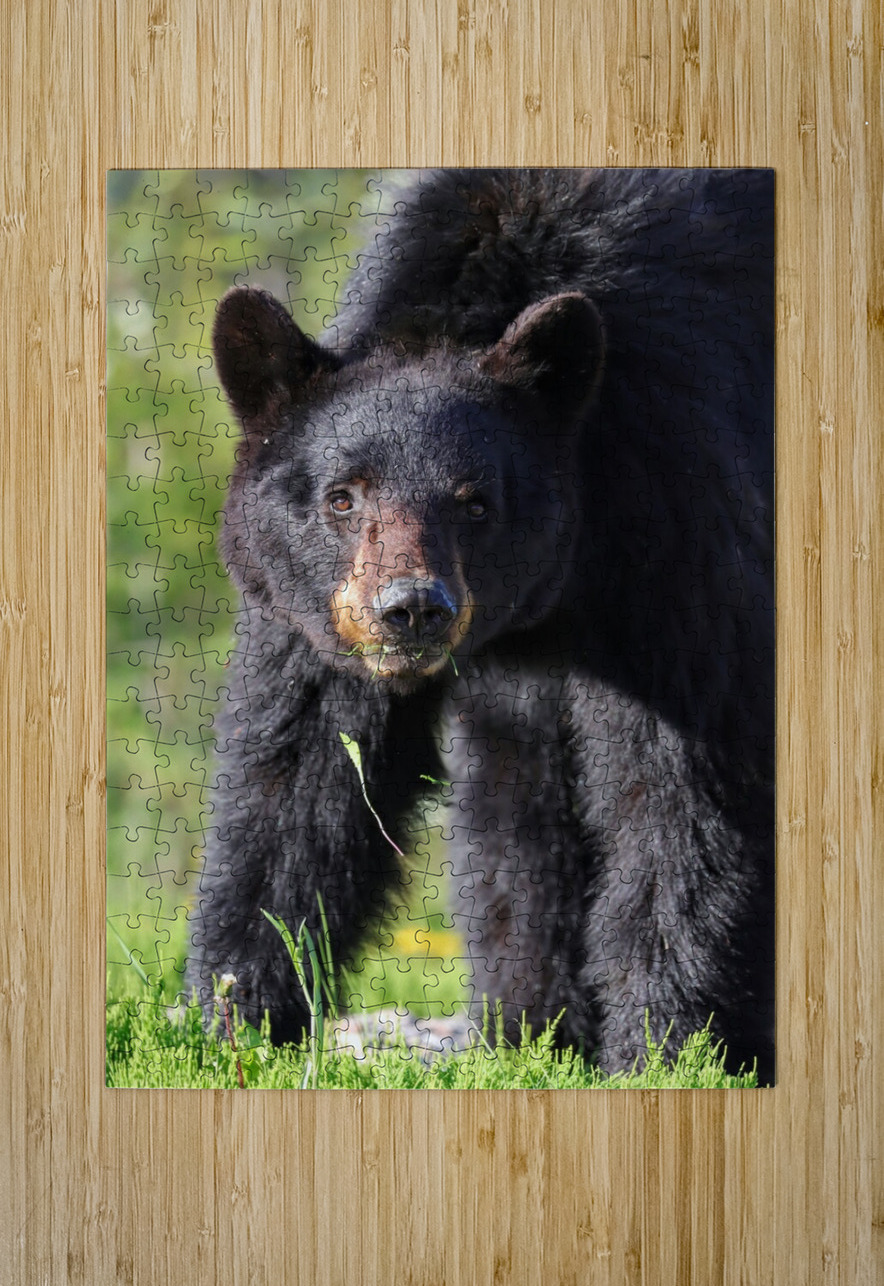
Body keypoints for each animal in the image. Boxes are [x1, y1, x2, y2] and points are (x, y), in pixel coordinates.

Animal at [187, 168, 775, 1080]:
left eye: (475, 501)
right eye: (342, 497)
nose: (410, 609)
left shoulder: (675, 524)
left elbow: (682, 796)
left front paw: (669, 1044)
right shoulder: (312, 610)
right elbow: (302, 778)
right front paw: (234, 1018)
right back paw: (528, 1027)